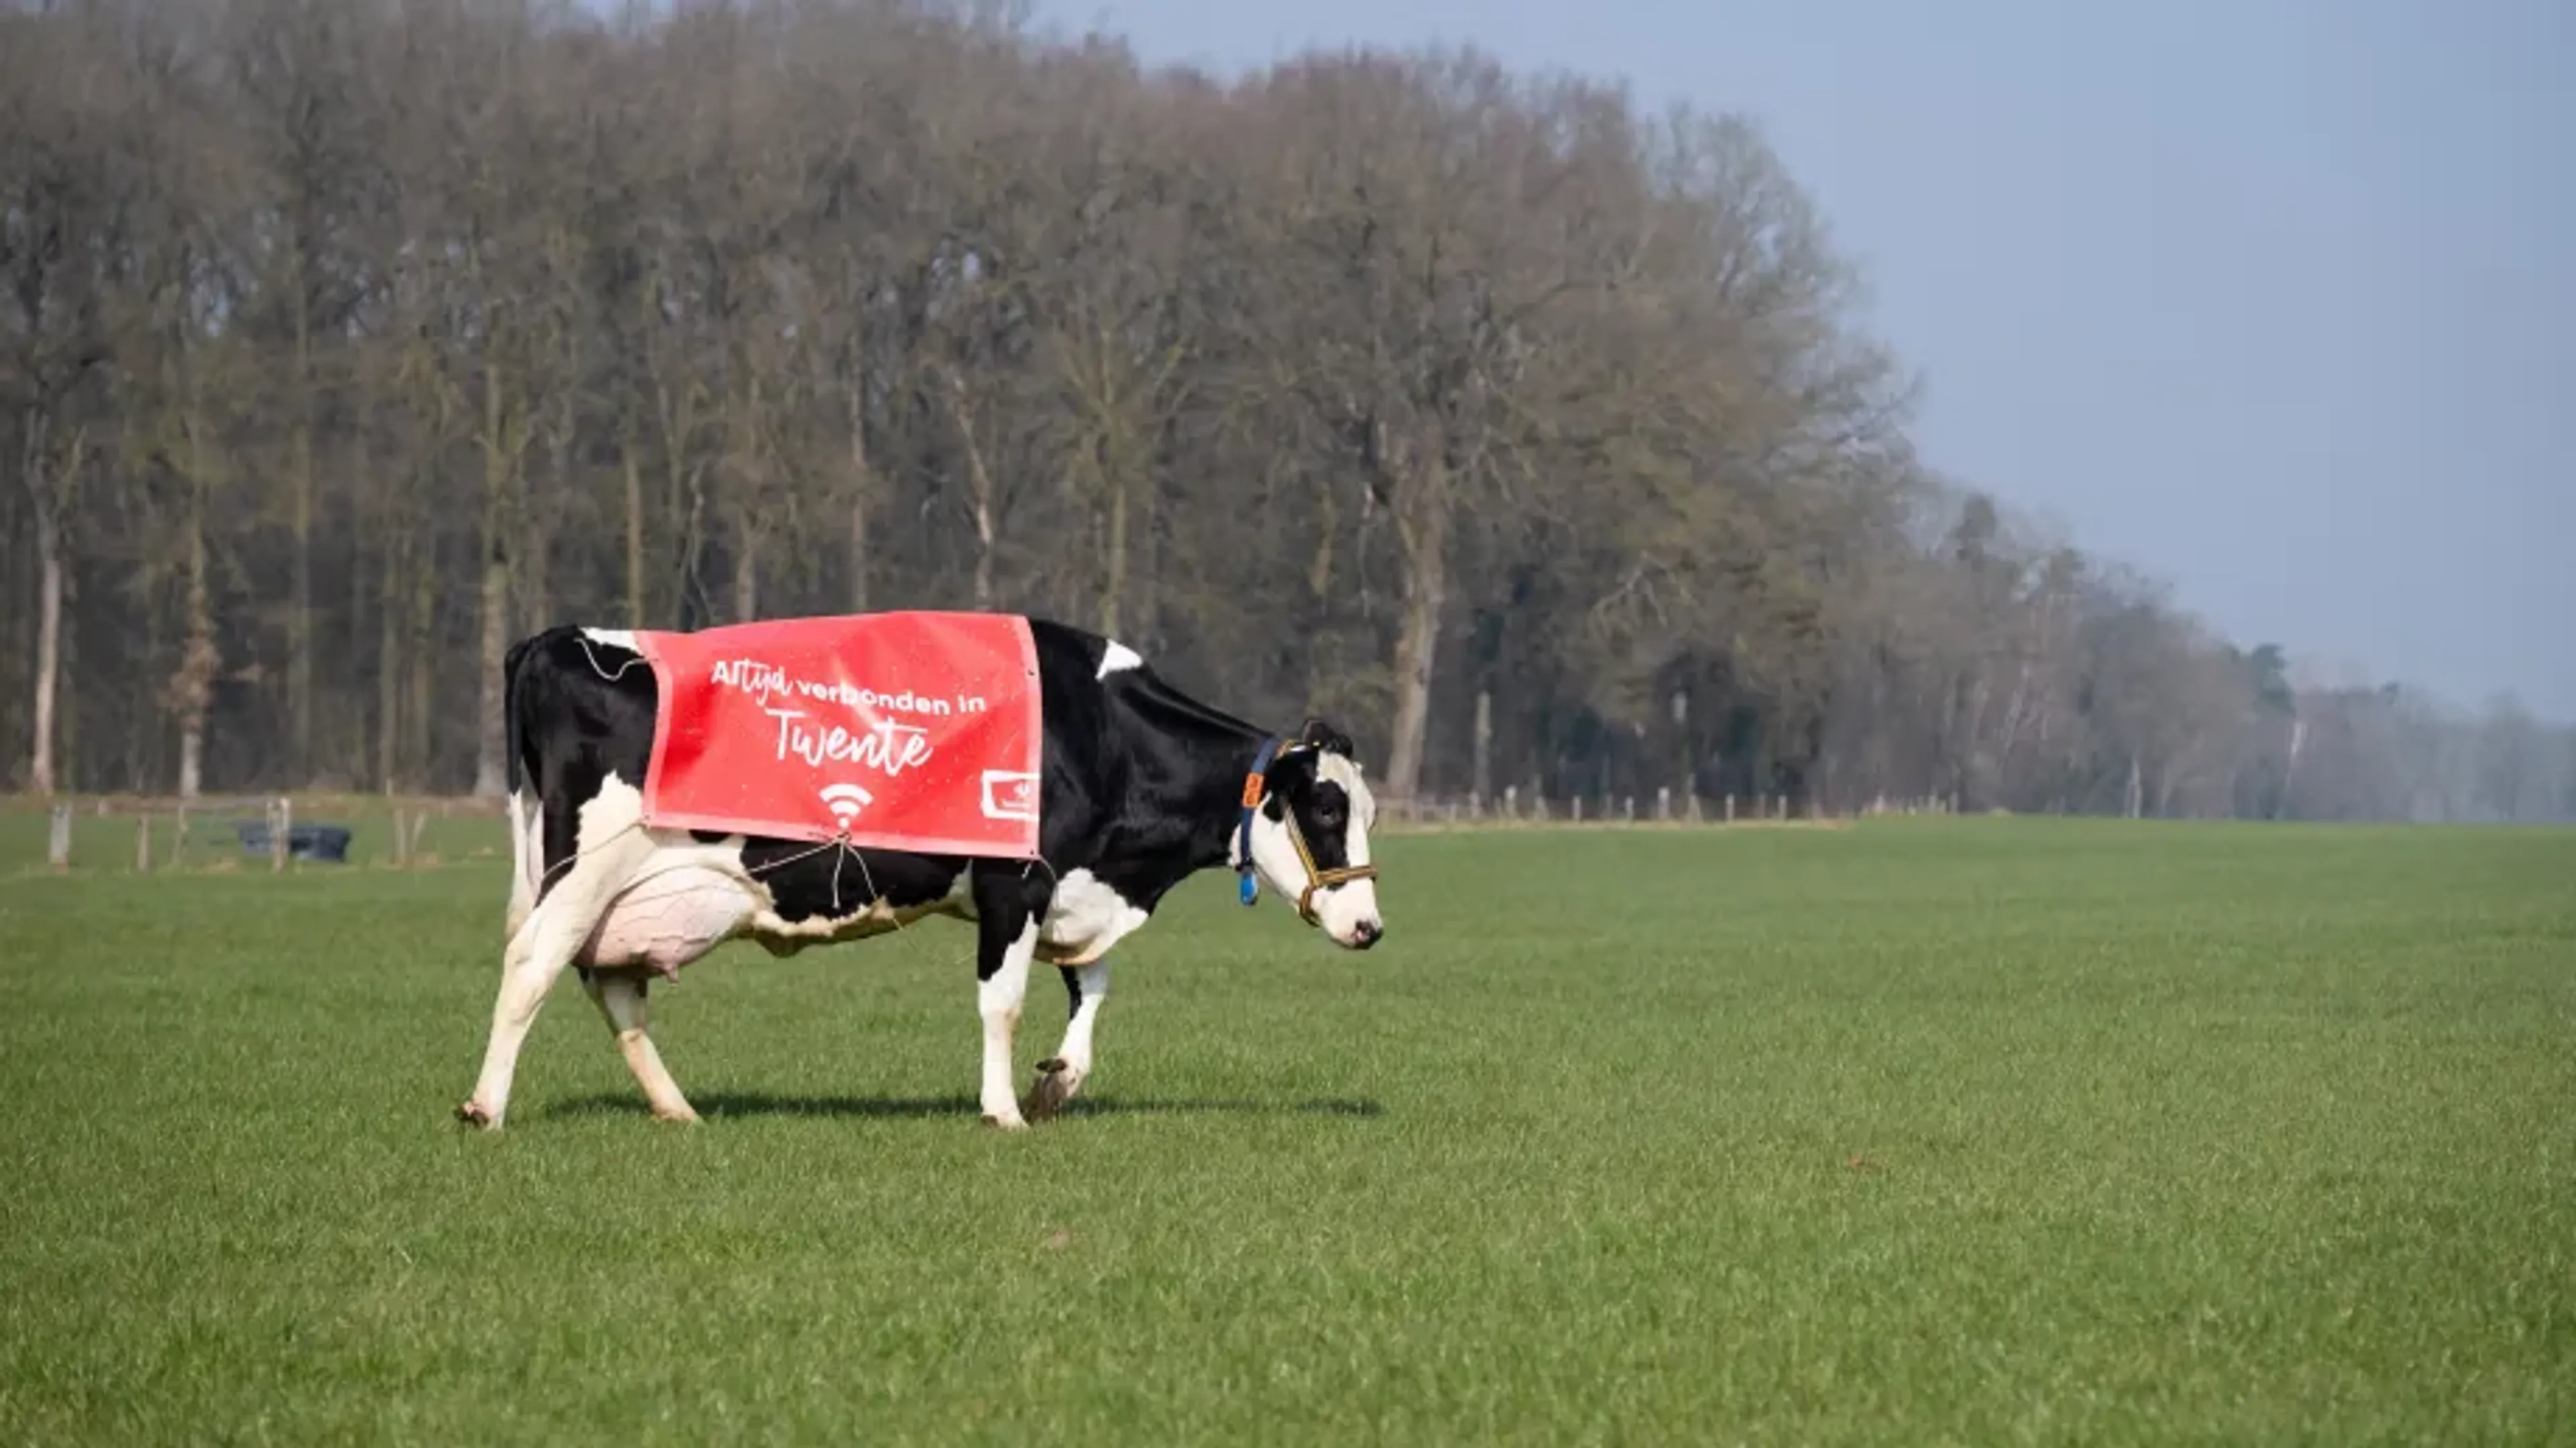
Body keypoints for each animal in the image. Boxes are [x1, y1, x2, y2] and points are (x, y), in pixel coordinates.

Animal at [456, 616, 1386, 1132]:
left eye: (1370, 810)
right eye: (1325, 809)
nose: (1370, 926)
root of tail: (555, 639)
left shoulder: (1074, 892)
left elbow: (1094, 985)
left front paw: (1058, 1083)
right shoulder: (1017, 882)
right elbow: (1002, 1001)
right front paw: (1003, 1109)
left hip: (624, 893)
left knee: (612, 986)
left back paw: (677, 1109)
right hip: (585, 865)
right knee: (534, 962)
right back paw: (485, 1108)